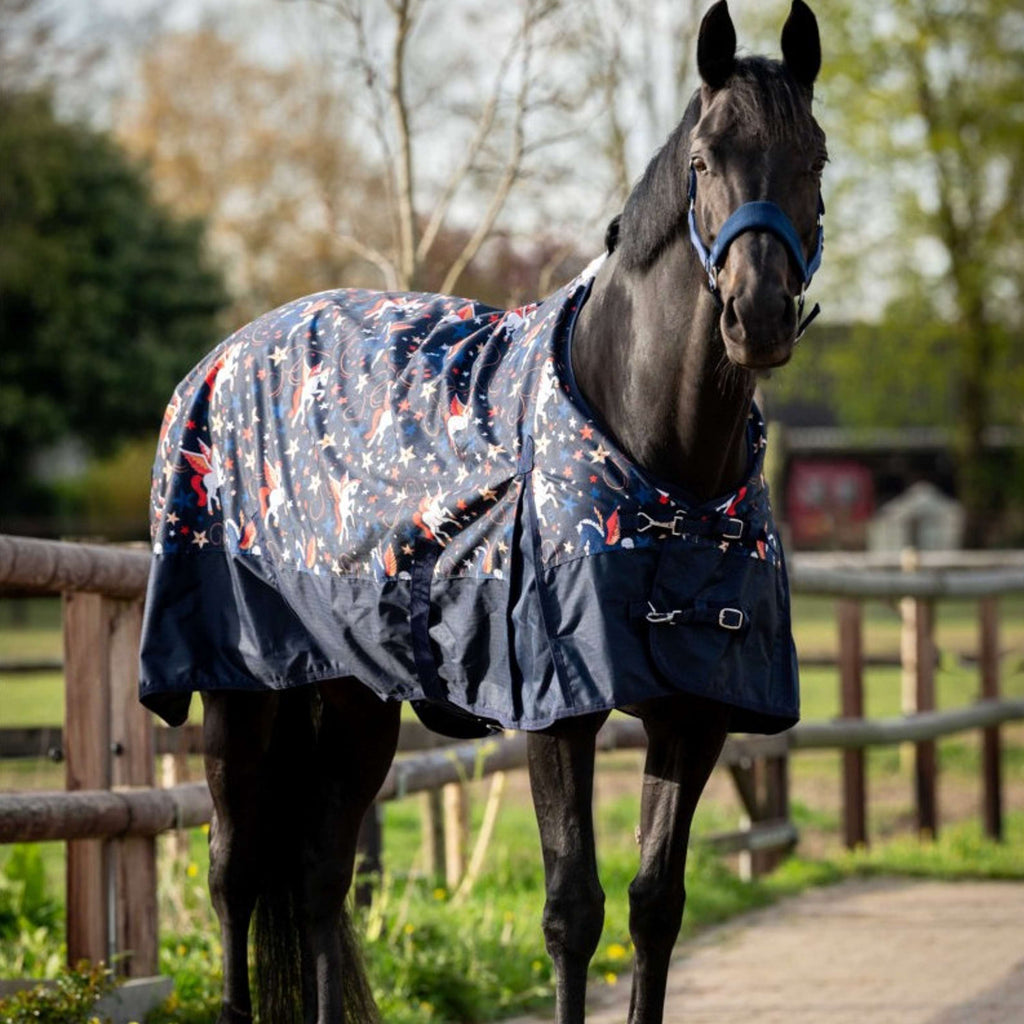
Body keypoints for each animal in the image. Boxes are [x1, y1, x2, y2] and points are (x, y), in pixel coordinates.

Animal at [138, 2, 826, 1021]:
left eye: (815, 157)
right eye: (705, 161)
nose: (759, 315)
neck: (660, 460)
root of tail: (219, 361)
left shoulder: (696, 712)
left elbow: (656, 906)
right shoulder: (556, 707)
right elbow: (572, 911)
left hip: (351, 696)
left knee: (317, 876)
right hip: (237, 689)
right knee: (234, 873)